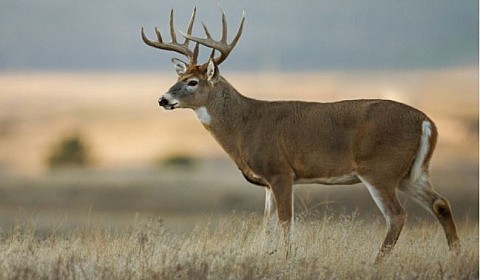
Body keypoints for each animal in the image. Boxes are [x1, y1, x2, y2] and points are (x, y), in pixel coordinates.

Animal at [142, 8, 462, 262]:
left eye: (193, 82)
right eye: (178, 77)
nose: (162, 99)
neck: (244, 125)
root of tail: (426, 121)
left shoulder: (281, 171)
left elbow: (286, 223)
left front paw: (287, 259)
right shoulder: (267, 182)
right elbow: (267, 225)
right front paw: (267, 256)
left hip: (379, 169)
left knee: (397, 215)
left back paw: (376, 263)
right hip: (411, 173)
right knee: (440, 203)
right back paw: (455, 256)